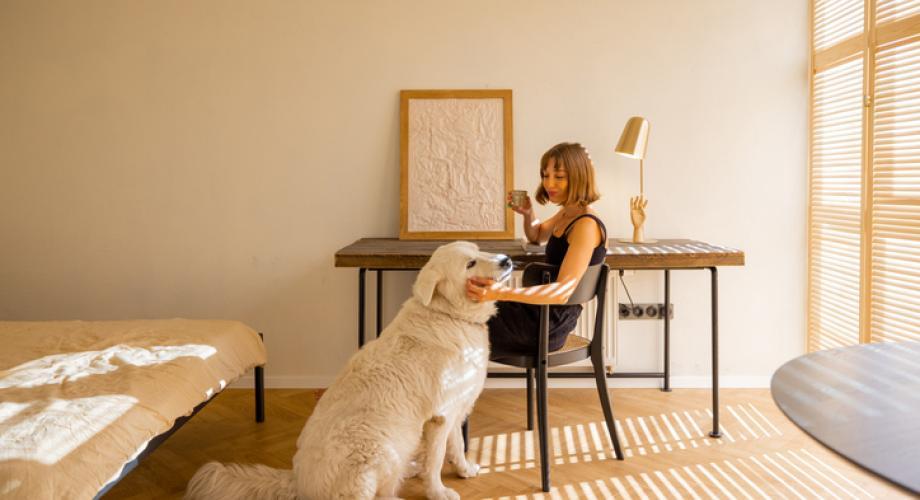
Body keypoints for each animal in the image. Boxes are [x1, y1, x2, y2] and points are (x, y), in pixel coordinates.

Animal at [185, 240, 510, 498]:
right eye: (470, 263)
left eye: (480, 250)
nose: (506, 259)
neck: (447, 314)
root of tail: (297, 482)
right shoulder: (440, 417)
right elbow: (436, 460)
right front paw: (439, 492)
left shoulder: (456, 408)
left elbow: (457, 445)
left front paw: (465, 469)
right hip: (378, 448)